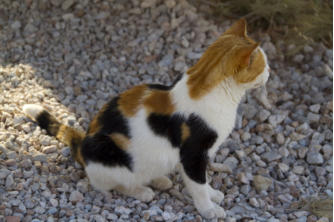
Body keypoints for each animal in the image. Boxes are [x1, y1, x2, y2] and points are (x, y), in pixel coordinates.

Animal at [22, 19, 268, 219]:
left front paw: (213, 194)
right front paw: (208, 209)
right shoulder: (193, 155)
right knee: (110, 184)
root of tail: (83, 144)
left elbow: (203, 181)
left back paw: (159, 179)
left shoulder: (198, 157)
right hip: (108, 154)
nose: (269, 73)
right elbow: (198, 184)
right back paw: (142, 190)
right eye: (263, 65)